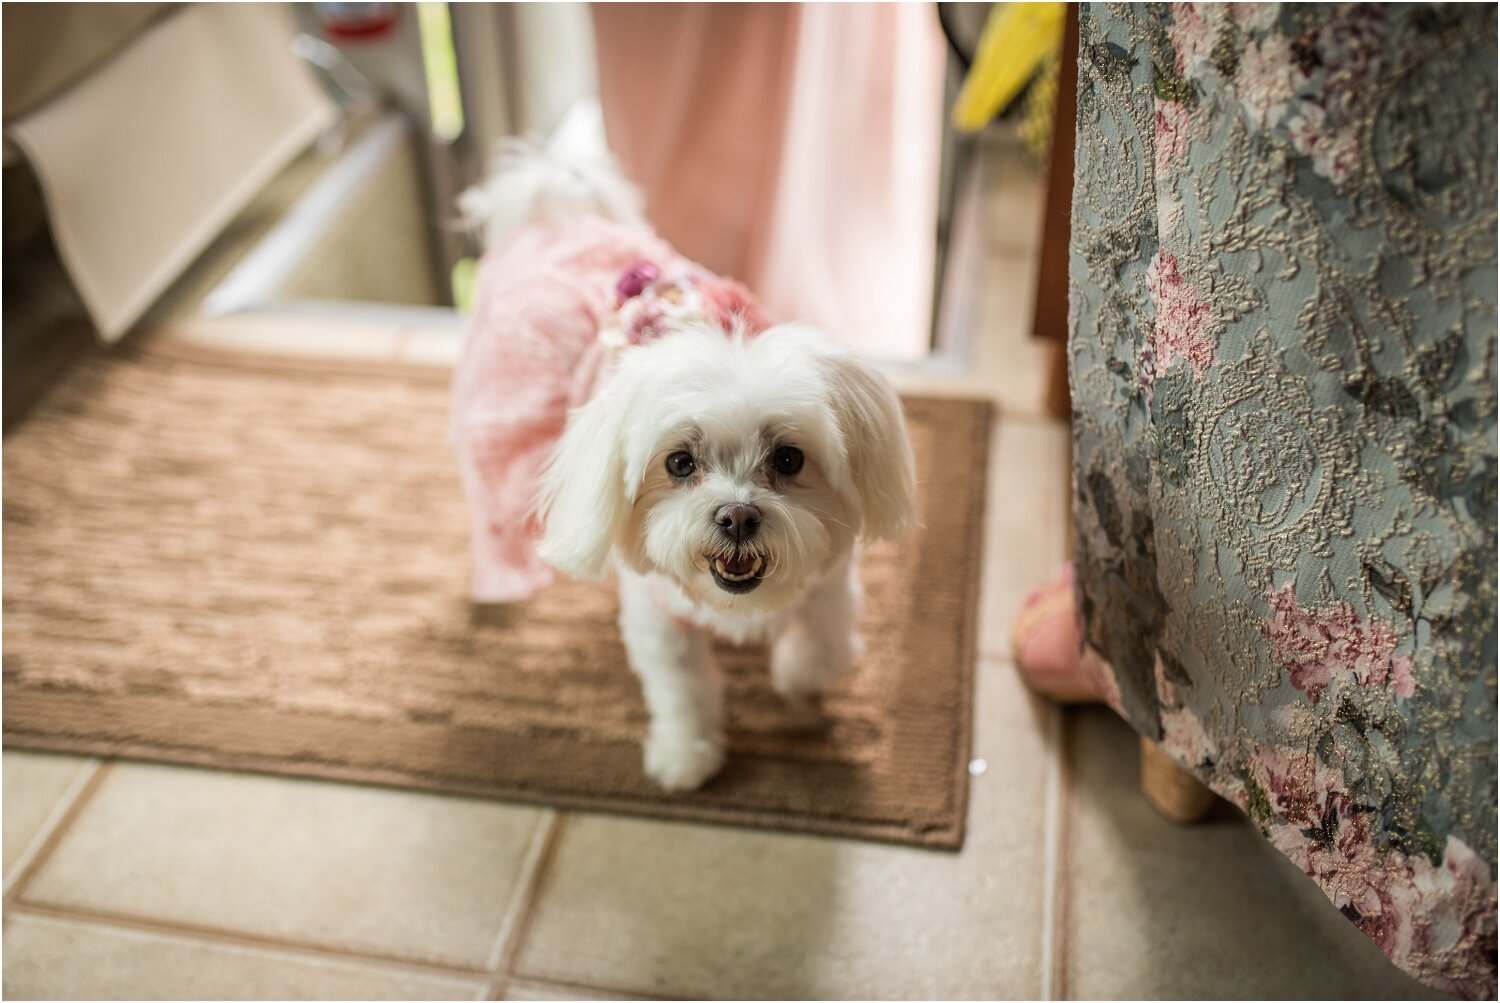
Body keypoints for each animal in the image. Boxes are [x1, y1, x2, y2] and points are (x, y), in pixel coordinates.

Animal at [450, 146, 912, 791]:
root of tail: (554, 217)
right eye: (679, 462)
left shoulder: (831, 580)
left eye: (789, 458)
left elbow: (824, 647)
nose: (737, 516)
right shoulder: (659, 618)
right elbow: (682, 690)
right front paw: (686, 757)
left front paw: (796, 677)